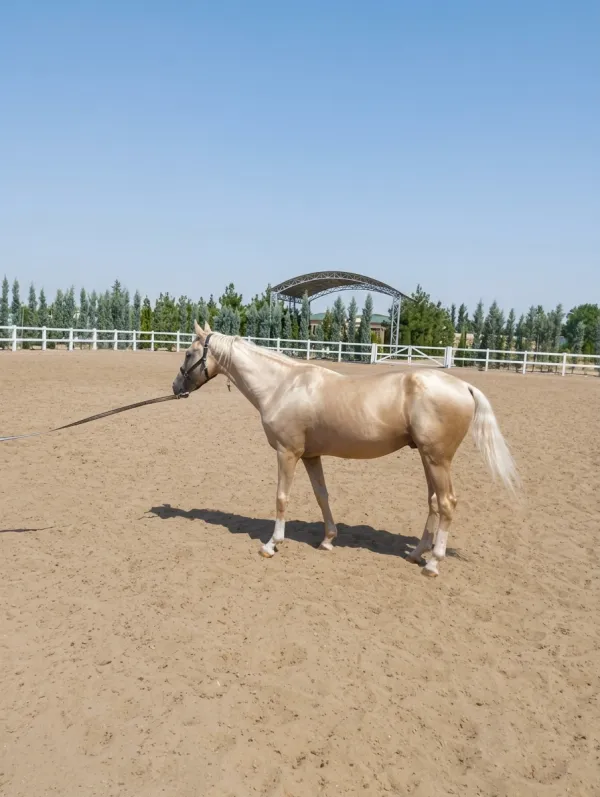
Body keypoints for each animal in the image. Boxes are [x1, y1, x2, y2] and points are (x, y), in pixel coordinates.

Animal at [172, 321, 519, 577]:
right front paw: (327, 540)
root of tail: (464, 386)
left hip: (438, 459)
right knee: (434, 503)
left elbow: (282, 498)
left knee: (447, 503)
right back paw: (417, 554)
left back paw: (433, 563)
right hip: (427, 458)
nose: (176, 388)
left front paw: (271, 544)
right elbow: (322, 495)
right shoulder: (311, 456)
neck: (282, 385)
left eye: (189, 353)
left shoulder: (287, 453)